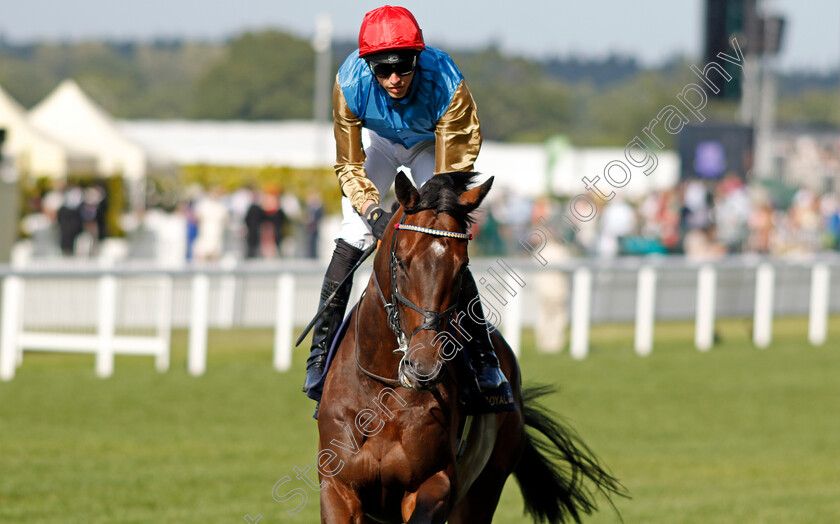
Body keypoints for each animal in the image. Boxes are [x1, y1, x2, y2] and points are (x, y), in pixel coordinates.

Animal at [316, 173, 624, 524]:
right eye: (401, 262)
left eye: (462, 268)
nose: (423, 366)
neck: (384, 391)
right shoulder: (338, 487)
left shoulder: (434, 482)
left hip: (486, 485)